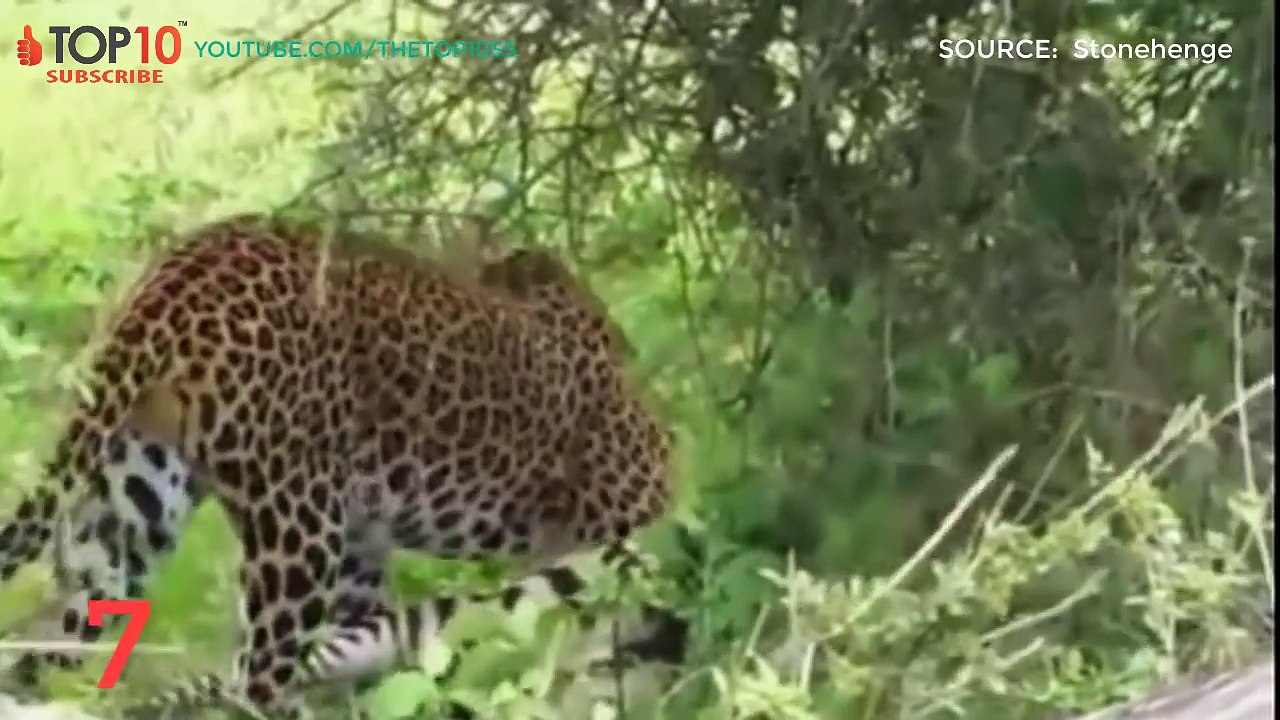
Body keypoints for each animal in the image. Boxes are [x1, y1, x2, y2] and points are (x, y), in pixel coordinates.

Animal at [0, 213, 679, 717]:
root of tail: (179, 275)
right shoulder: (624, 507)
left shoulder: (363, 549)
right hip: (296, 528)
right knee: (255, 677)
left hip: (133, 507)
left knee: (49, 637)